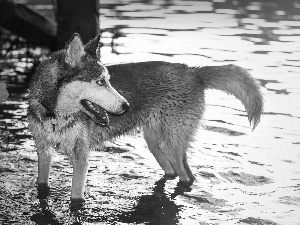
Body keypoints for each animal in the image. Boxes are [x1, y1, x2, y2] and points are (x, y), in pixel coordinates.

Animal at [27, 33, 262, 200]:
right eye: (100, 82)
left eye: (108, 80)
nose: (126, 106)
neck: (54, 116)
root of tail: (193, 71)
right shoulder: (44, 151)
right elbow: (41, 184)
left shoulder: (81, 157)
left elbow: (76, 199)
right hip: (154, 143)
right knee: (171, 172)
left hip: (172, 144)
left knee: (187, 176)